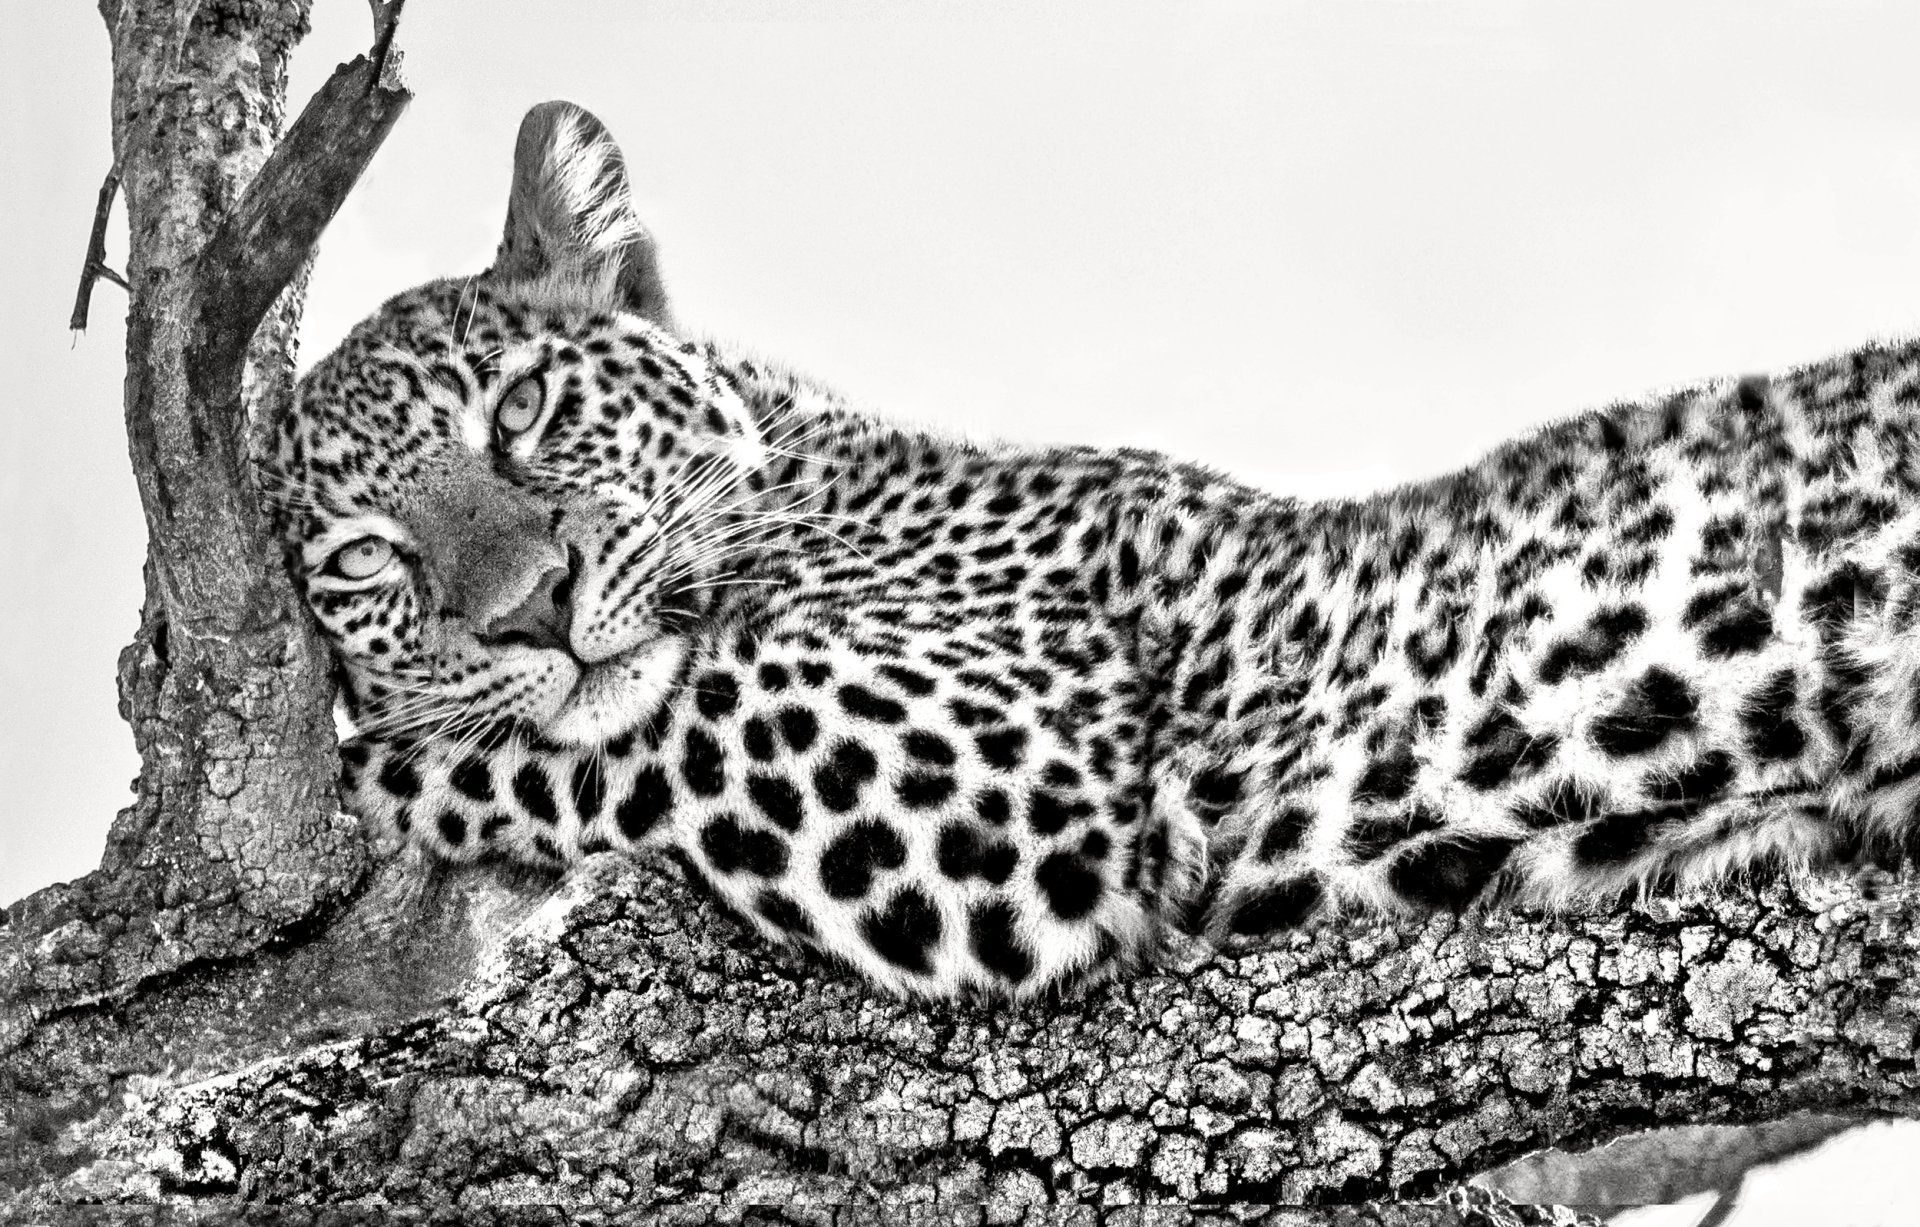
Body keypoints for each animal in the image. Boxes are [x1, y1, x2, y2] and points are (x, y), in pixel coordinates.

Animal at [261, 100, 1920, 1002]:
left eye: (523, 410)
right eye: (365, 564)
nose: (529, 611)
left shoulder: (1005, 772)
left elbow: (644, 722)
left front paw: (374, 763)